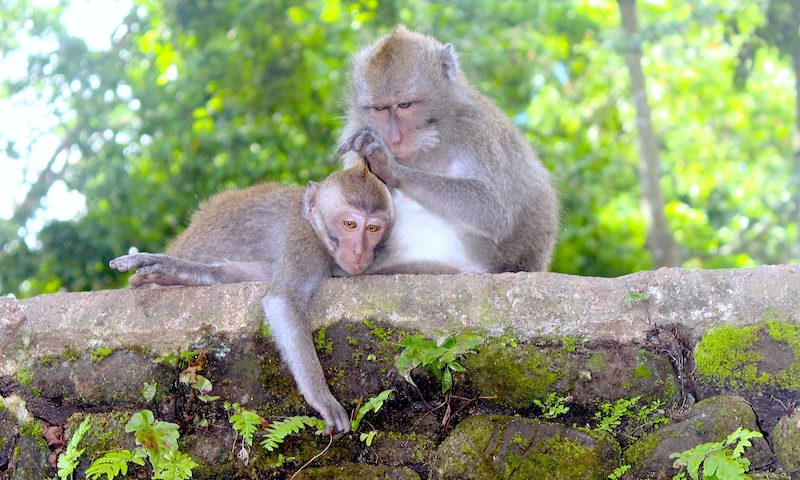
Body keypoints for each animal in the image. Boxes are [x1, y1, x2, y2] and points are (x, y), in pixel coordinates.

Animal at [110, 162, 394, 436]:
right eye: (349, 225)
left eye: (372, 228)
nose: (360, 252)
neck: (311, 220)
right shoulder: (304, 242)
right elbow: (283, 301)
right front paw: (322, 398)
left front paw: (181, 272)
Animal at [338, 26, 556, 274]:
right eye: (379, 109)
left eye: (405, 105)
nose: (394, 138)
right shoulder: (355, 130)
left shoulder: (476, 130)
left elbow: (493, 212)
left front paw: (389, 168)